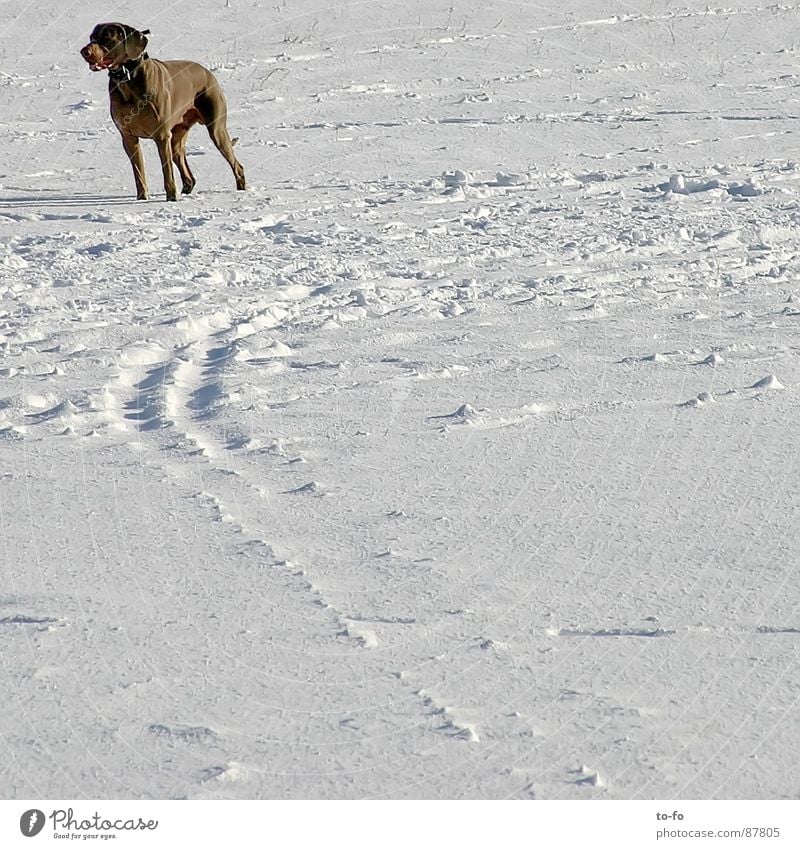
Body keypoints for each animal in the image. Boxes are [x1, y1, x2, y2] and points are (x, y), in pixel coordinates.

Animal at [81, 23, 245, 200]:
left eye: (107, 37)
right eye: (91, 37)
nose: (84, 51)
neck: (128, 79)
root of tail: (207, 72)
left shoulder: (161, 136)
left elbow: (167, 172)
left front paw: (171, 198)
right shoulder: (128, 137)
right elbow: (139, 173)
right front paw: (142, 199)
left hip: (216, 128)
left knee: (237, 166)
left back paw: (241, 191)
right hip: (177, 136)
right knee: (188, 174)